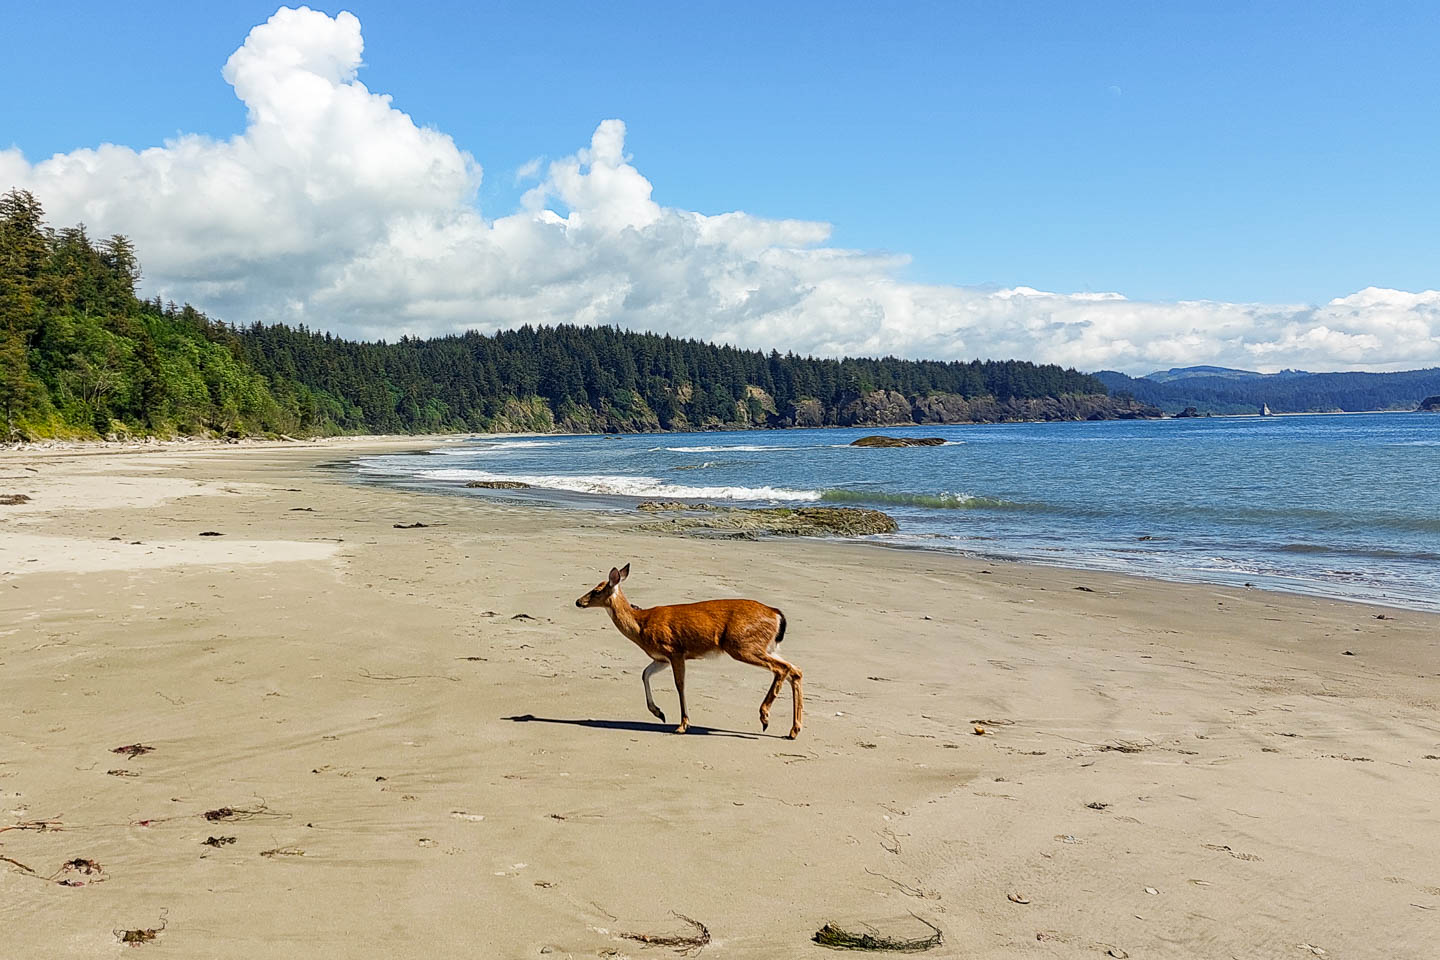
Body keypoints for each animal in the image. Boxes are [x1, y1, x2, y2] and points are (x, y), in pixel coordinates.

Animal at [570, 567, 800, 742]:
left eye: (596, 590)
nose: (578, 601)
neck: (641, 624)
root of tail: (777, 614)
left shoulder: (674, 650)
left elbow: (679, 684)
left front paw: (682, 724)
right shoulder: (660, 658)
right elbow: (645, 674)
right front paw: (659, 713)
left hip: (743, 645)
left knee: (782, 669)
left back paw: (765, 718)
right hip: (763, 647)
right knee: (795, 670)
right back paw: (793, 731)